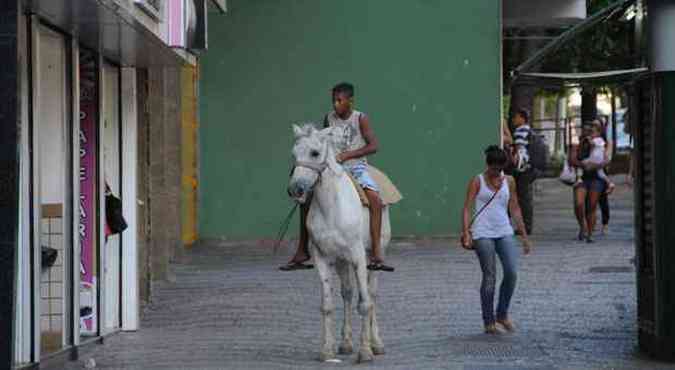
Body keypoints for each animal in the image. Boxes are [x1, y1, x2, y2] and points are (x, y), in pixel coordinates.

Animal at [286, 123, 390, 362]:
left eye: (315, 153)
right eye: (294, 154)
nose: (295, 189)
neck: (332, 207)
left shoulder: (358, 256)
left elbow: (365, 304)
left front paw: (365, 352)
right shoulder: (322, 258)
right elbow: (327, 305)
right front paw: (327, 350)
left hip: (373, 256)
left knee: (371, 294)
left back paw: (377, 343)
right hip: (342, 261)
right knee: (347, 294)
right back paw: (346, 343)